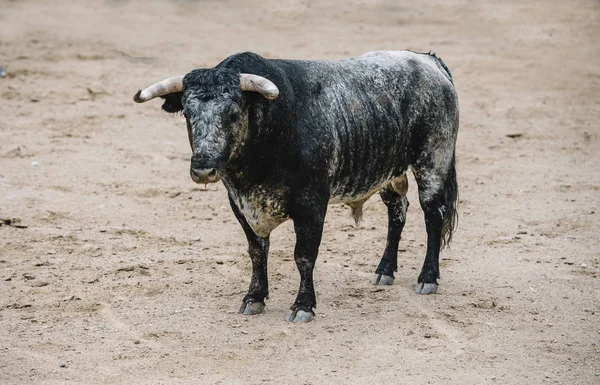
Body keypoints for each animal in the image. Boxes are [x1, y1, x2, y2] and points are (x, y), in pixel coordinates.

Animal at [134, 50, 458, 320]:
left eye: (233, 113)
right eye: (188, 115)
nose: (203, 169)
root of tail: (428, 60)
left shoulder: (312, 204)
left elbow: (303, 256)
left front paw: (303, 306)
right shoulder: (239, 203)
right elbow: (257, 251)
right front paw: (254, 298)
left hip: (433, 161)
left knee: (433, 215)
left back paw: (427, 278)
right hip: (391, 171)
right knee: (397, 211)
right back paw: (384, 271)